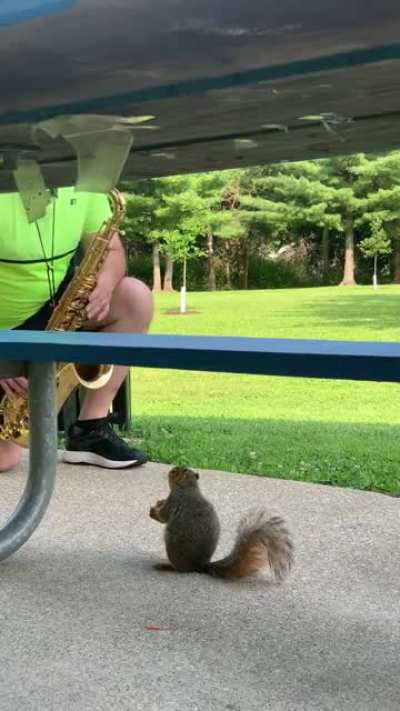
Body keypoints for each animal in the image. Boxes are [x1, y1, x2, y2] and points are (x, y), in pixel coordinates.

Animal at [149, 466, 294, 581]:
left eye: (174, 471)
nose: (169, 471)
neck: (189, 486)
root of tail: (199, 566)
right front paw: (159, 502)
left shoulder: (174, 498)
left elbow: (163, 516)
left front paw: (153, 511)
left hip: (173, 548)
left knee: (181, 569)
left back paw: (167, 565)